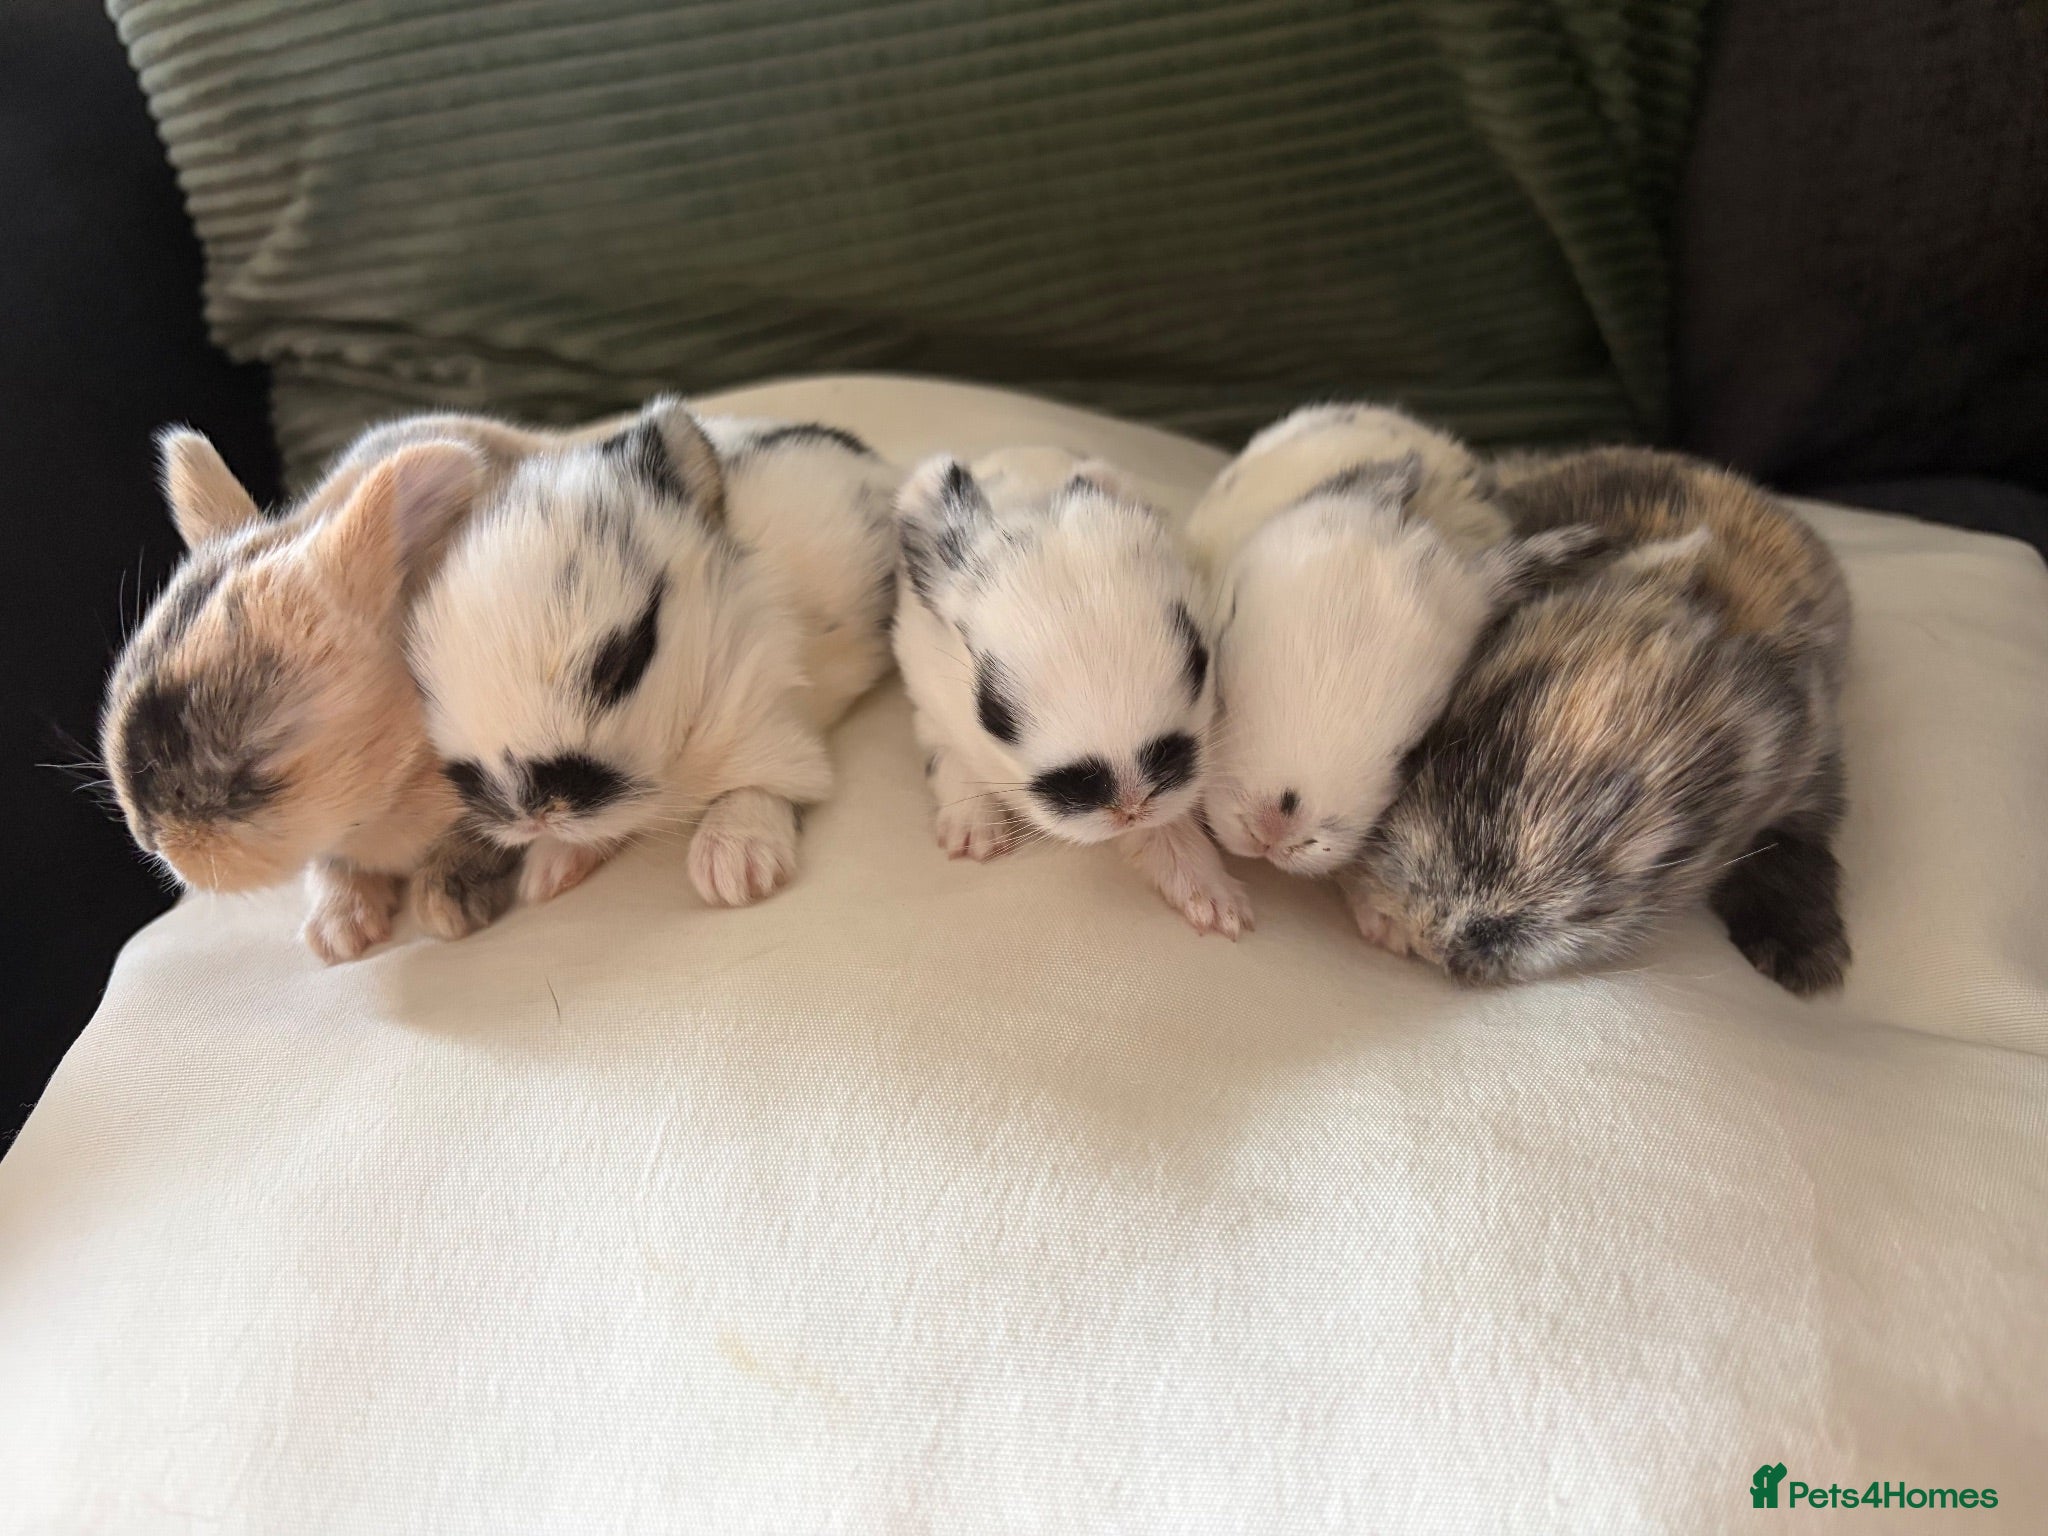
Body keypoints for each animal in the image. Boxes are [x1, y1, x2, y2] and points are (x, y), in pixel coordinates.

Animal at [406, 399, 899, 915]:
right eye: (423, 688)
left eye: (621, 664)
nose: (532, 816)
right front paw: (548, 873)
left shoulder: (769, 719)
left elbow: (756, 788)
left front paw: (733, 869)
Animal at [893, 449, 1251, 938]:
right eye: (992, 711)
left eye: (1199, 660)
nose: (1129, 806)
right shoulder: (930, 710)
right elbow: (952, 764)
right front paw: (975, 838)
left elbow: (1169, 832)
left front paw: (1217, 906)